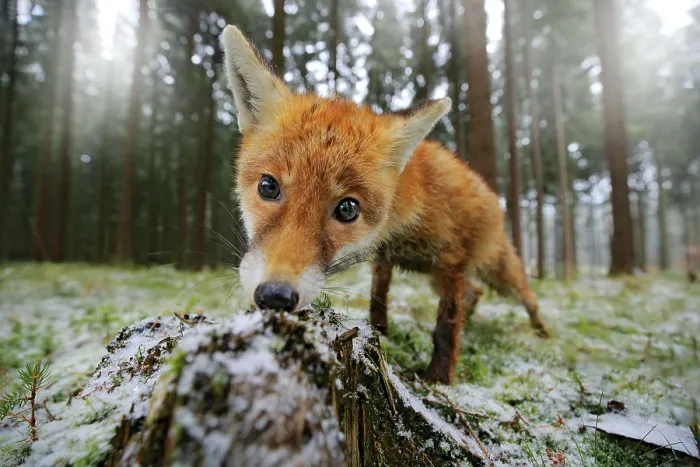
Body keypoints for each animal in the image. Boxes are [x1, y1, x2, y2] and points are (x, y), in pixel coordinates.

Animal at [221, 25, 549, 385]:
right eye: (268, 187)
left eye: (347, 209)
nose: (275, 296)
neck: (401, 223)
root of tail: (491, 193)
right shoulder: (386, 258)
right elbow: (379, 297)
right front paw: (380, 330)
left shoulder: (451, 260)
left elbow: (447, 325)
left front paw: (439, 378)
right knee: (474, 292)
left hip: (496, 272)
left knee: (526, 296)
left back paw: (542, 331)